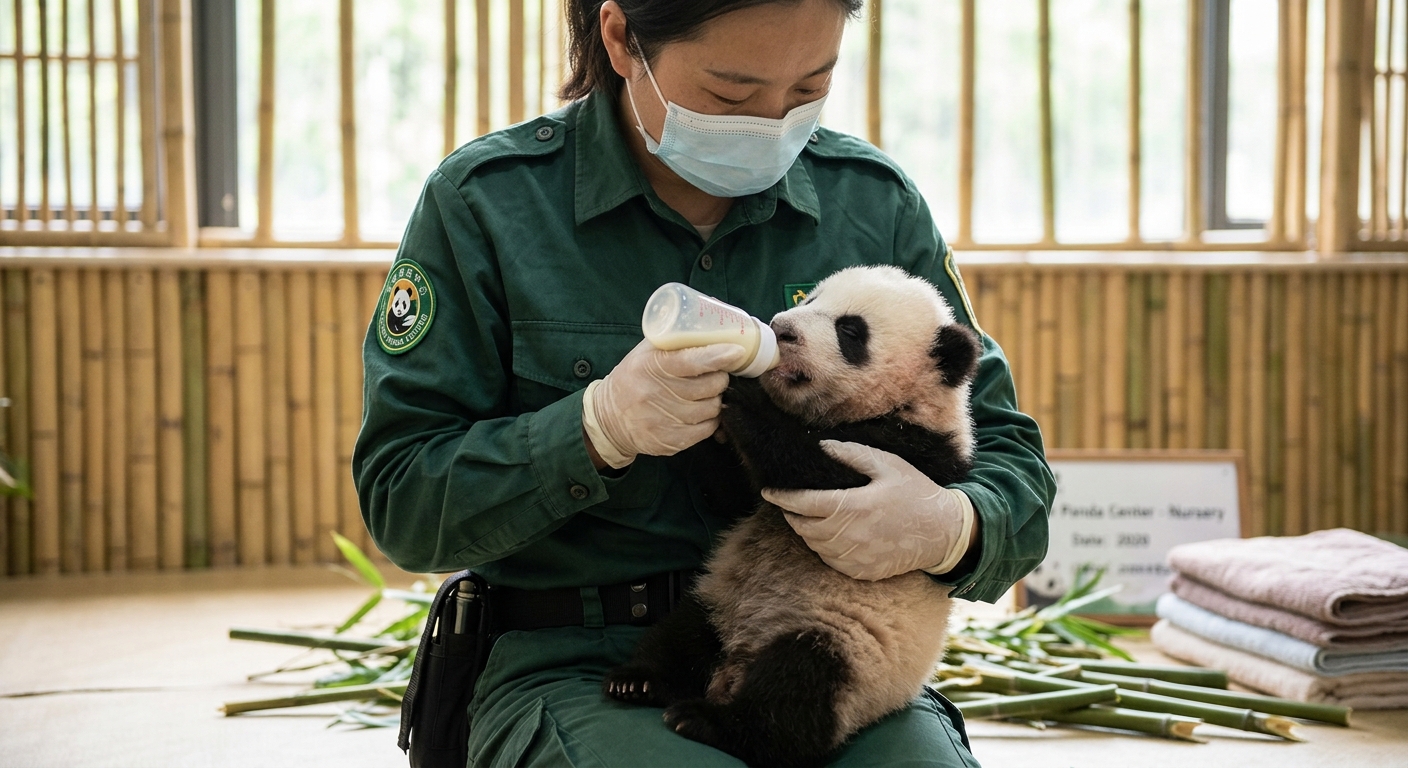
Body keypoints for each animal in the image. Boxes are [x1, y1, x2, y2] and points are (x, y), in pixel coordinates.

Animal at [604, 265, 983, 768]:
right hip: (717, 599)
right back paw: (639, 680)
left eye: (851, 331)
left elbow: (815, 474)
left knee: (799, 689)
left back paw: (712, 722)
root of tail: (735, 667)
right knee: (681, 635)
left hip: (850, 647)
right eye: (810, 300)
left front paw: (744, 394)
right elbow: (733, 496)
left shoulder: (919, 460)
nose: (780, 329)